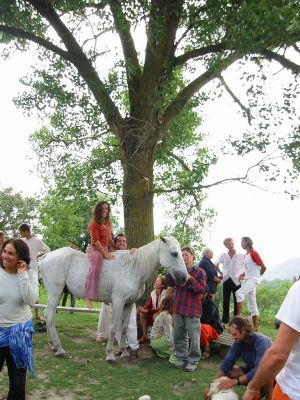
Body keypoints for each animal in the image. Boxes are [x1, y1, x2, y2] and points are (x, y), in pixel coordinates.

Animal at [38, 236, 186, 360]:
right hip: (55, 292)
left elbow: (124, 328)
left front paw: (124, 352)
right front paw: (110, 355)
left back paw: (52, 344)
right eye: (174, 253)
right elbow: (114, 327)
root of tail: (46, 256)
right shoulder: (118, 302)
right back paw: (59, 349)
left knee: (46, 314)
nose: (184, 278)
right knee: (50, 316)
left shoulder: (129, 304)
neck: (133, 268)